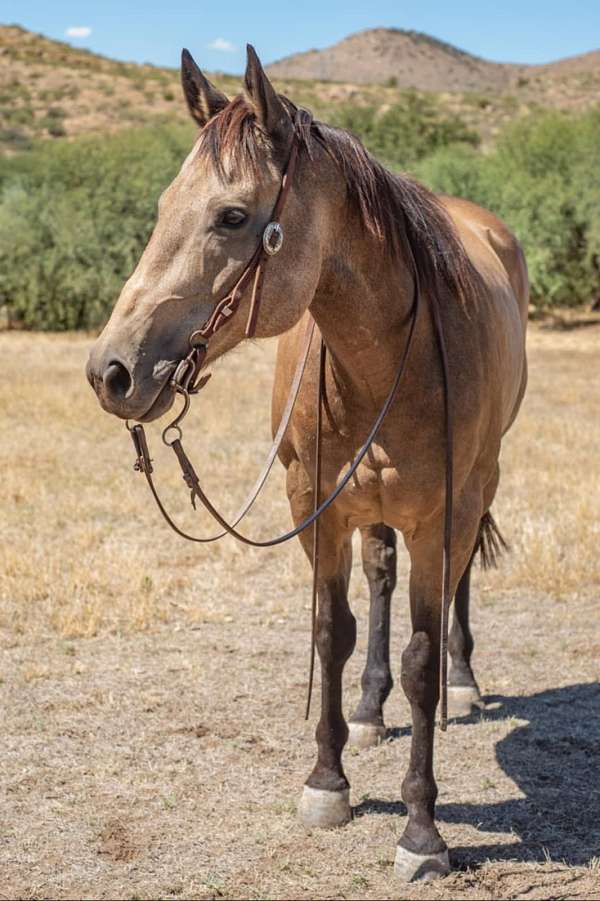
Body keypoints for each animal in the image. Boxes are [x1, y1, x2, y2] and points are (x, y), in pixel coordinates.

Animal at [86, 44, 528, 880]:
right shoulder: (313, 504)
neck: (386, 355)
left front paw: (421, 829)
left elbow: (421, 654)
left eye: (232, 215)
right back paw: (369, 708)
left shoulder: (443, 512)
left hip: (478, 483)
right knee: (380, 579)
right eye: (163, 207)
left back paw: (463, 684)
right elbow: (333, 630)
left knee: (455, 589)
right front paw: (328, 780)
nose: (111, 371)